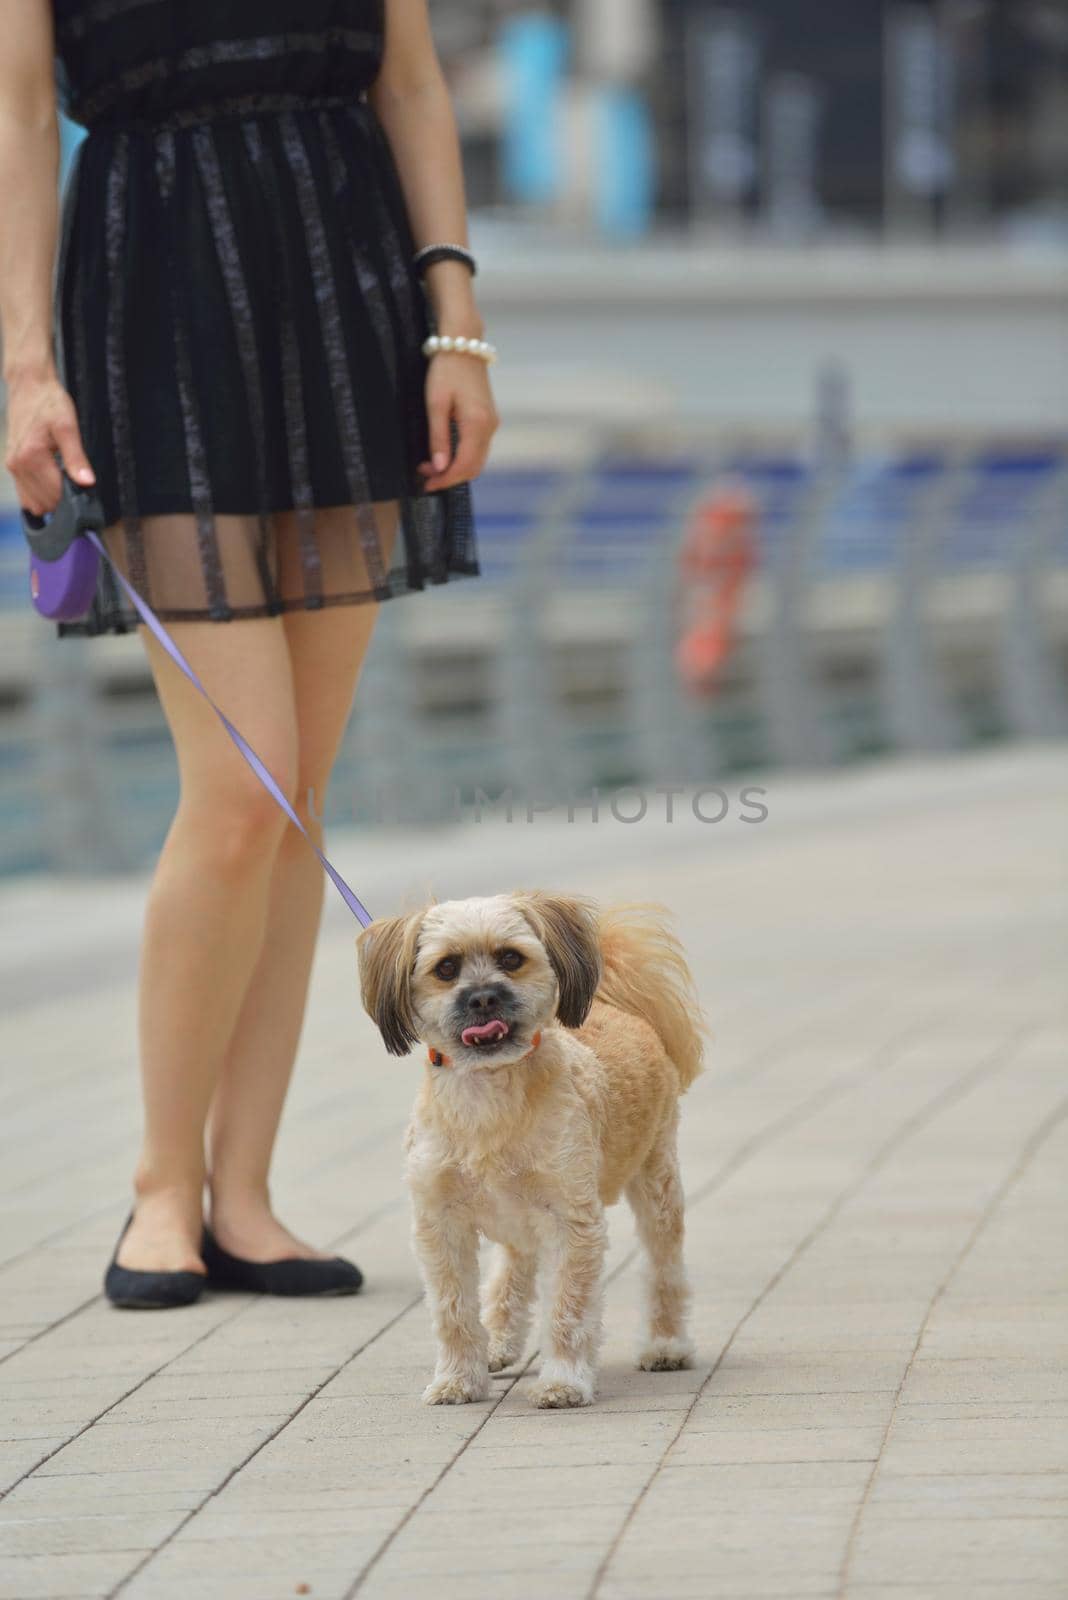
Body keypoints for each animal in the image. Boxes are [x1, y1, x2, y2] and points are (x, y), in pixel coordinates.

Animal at [358, 896, 703, 1408]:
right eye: (446, 968)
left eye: (510, 958)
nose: (483, 997)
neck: (489, 1097)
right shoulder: (439, 1223)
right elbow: (454, 1309)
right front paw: (459, 1378)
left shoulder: (571, 1220)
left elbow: (568, 1308)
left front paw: (563, 1381)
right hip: (516, 1213)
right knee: (512, 1270)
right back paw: (498, 1343)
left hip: (656, 1185)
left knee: (665, 1271)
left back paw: (666, 1345)